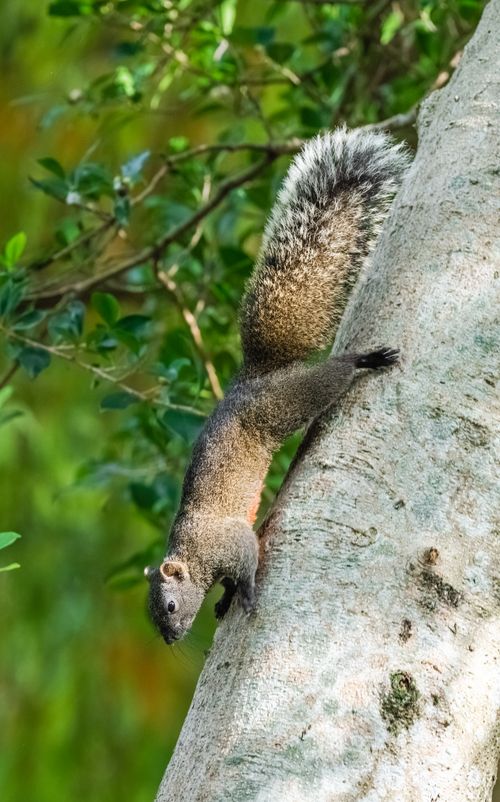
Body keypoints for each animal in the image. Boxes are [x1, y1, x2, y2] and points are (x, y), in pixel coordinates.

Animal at [145, 127, 410, 645]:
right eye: (153, 616)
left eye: (169, 605)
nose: (169, 638)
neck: (192, 553)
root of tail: (255, 376)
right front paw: (224, 598)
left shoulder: (230, 542)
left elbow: (247, 563)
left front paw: (243, 594)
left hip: (287, 400)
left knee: (330, 377)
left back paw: (364, 360)